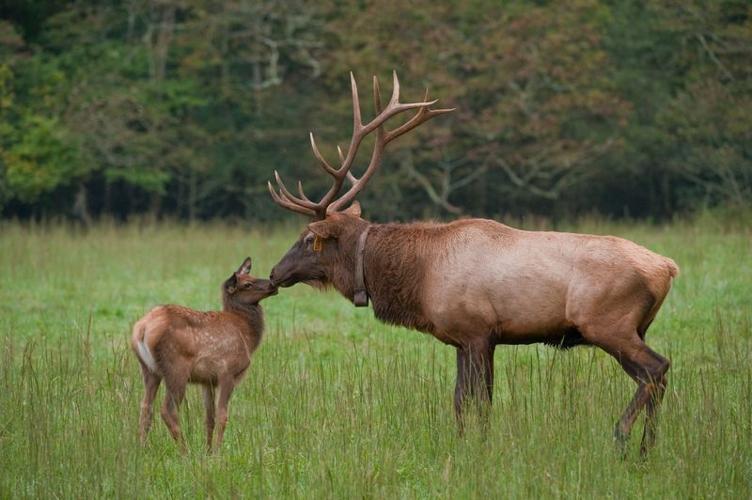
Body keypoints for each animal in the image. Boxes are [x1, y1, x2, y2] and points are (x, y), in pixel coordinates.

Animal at [130, 257, 277, 453]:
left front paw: (207, 451)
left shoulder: (207, 380)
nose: (273, 284)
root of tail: (142, 329)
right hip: (176, 369)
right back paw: (185, 452)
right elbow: (223, 416)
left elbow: (209, 418)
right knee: (167, 410)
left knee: (145, 406)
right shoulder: (228, 371)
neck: (246, 334)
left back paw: (141, 449)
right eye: (247, 284)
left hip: (149, 370)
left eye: (253, 276)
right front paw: (217, 453)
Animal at [266, 72, 679, 457]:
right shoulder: (462, 340)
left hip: (607, 323)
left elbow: (481, 401)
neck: (420, 279)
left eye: (308, 239)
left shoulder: (480, 331)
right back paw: (648, 447)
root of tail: (667, 267)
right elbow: (460, 401)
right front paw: (464, 444)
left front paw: (481, 448)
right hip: (635, 327)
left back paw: (623, 437)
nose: (274, 273)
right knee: (654, 376)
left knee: (656, 369)